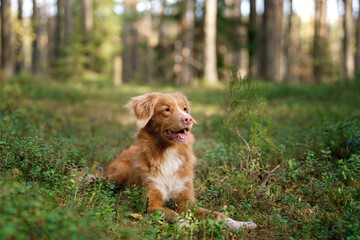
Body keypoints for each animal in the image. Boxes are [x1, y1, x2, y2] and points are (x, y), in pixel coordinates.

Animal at [103, 92, 256, 231]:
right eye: (166, 109)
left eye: (185, 109)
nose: (189, 119)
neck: (168, 153)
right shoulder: (149, 204)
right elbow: (171, 213)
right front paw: (185, 223)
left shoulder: (187, 201)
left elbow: (217, 214)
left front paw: (240, 224)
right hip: (116, 176)